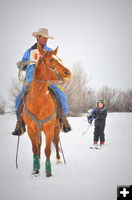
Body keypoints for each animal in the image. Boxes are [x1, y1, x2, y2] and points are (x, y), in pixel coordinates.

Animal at [22, 44, 71, 177]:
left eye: (60, 59)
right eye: (51, 60)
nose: (68, 73)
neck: (38, 102)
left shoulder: (49, 129)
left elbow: (48, 150)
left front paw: (48, 172)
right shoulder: (31, 129)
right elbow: (35, 149)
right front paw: (35, 170)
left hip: (56, 128)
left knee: (56, 141)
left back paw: (58, 159)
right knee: (39, 144)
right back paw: (38, 160)